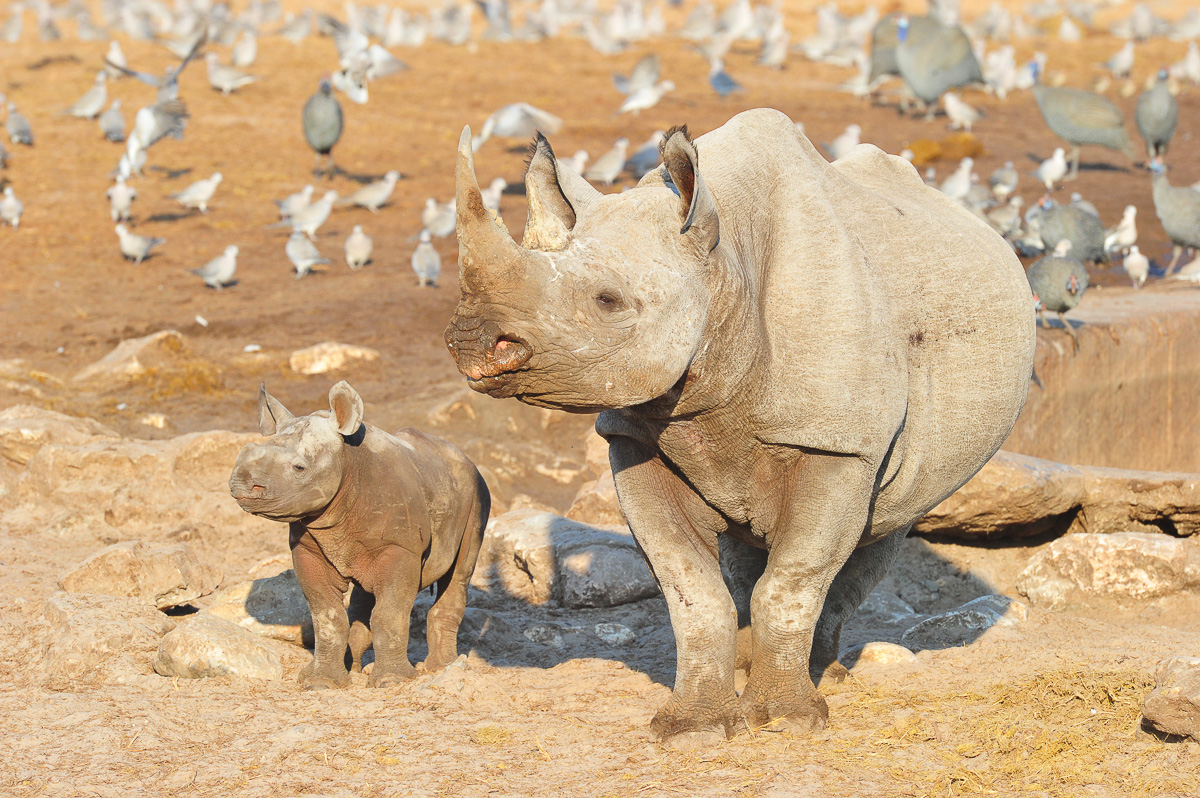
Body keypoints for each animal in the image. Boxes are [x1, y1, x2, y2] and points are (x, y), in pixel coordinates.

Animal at [229, 381, 489, 689]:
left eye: (299, 468)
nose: (241, 484)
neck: (348, 461)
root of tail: (463, 457)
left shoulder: (400, 547)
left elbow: (389, 614)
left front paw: (392, 681)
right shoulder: (308, 548)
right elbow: (327, 617)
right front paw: (320, 682)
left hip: (476, 493)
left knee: (459, 572)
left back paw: (442, 667)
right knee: (364, 598)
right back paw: (353, 668)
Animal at [444, 109, 1035, 745]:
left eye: (608, 301)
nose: (472, 342)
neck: (722, 271)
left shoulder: (838, 444)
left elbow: (795, 580)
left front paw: (786, 722)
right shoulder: (635, 435)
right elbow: (692, 589)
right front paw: (692, 729)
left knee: (879, 531)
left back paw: (824, 677)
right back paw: (753, 671)